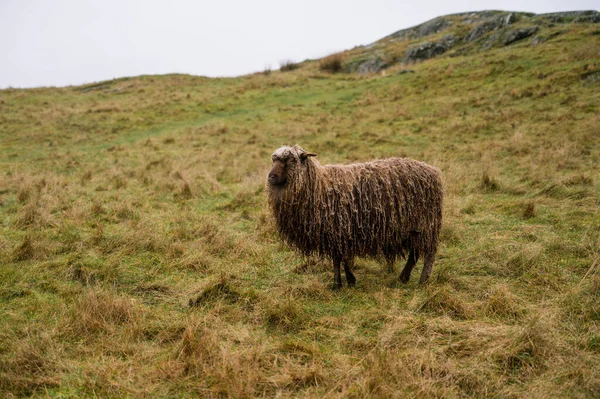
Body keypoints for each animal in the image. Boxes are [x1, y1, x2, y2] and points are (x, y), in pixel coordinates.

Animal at [264, 145, 442, 290]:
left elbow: (343, 259)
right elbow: (337, 259)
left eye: (290, 160)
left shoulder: (342, 232)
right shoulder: (333, 234)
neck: (318, 186)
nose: (270, 177)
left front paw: (348, 280)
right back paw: (403, 278)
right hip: (414, 228)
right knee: (414, 254)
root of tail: (434, 172)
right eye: (274, 160)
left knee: (429, 253)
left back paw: (423, 280)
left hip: (427, 224)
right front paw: (338, 283)